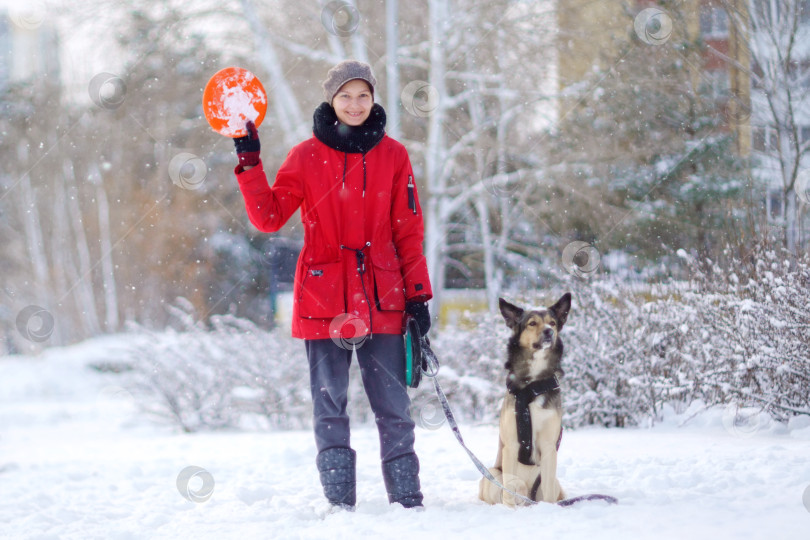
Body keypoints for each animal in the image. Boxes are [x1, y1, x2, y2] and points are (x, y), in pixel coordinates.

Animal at [476, 292, 572, 506]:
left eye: (552, 323)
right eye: (532, 323)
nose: (549, 332)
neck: (533, 385)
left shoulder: (549, 447)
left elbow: (549, 491)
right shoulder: (511, 445)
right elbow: (509, 490)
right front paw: (509, 510)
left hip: (551, 481)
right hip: (493, 474)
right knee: (512, 486)